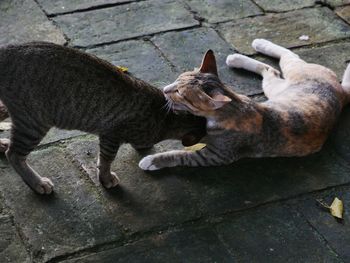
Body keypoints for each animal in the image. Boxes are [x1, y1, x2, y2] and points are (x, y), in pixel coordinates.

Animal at [0, 41, 206, 194]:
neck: (165, 116)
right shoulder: (111, 135)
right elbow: (107, 159)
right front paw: (106, 178)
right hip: (34, 121)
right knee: (14, 155)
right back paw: (36, 183)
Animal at [139, 39, 350, 171]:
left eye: (180, 93)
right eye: (177, 79)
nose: (165, 89)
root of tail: (342, 92)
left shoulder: (216, 156)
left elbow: (180, 155)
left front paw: (152, 160)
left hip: (285, 79)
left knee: (282, 61)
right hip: (274, 88)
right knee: (273, 67)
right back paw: (245, 52)